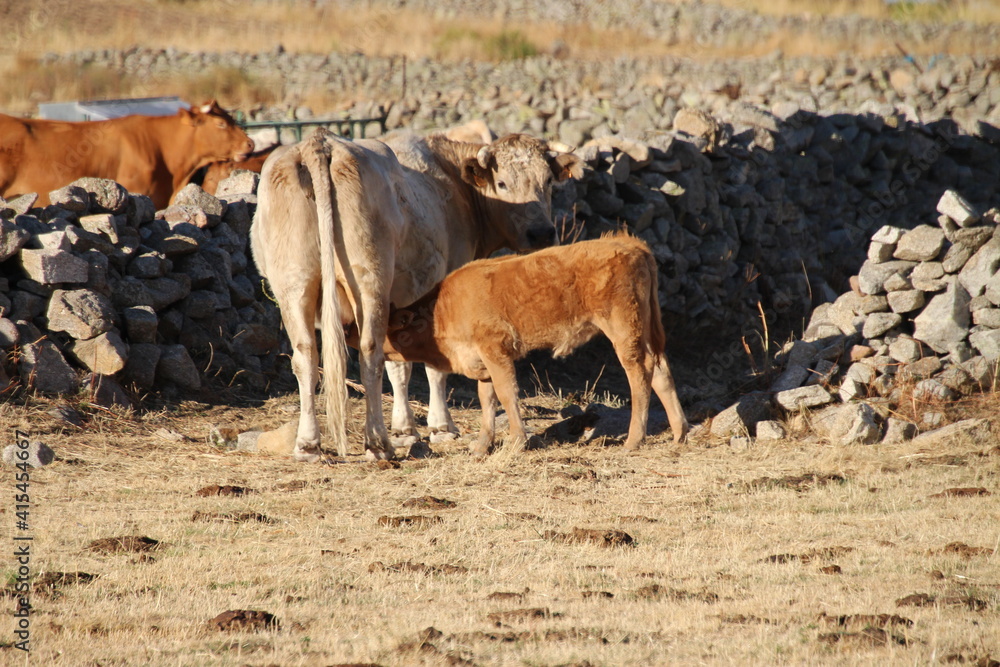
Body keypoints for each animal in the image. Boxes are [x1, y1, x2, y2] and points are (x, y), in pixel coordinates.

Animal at [250, 128, 582, 462]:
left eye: (548, 181)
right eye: (502, 183)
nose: (541, 233)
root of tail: (321, 140)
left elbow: (400, 363)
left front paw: (405, 428)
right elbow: (431, 364)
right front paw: (438, 426)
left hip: (294, 284)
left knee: (306, 355)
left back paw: (308, 444)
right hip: (369, 280)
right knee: (370, 351)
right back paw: (377, 443)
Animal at [373, 234, 690, 458]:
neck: (442, 309)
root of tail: (630, 244)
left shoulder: (495, 350)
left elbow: (507, 393)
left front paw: (516, 441)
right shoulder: (482, 361)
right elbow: (487, 399)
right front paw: (483, 446)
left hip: (623, 328)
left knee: (639, 371)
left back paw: (635, 439)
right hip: (643, 328)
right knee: (660, 368)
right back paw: (680, 433)